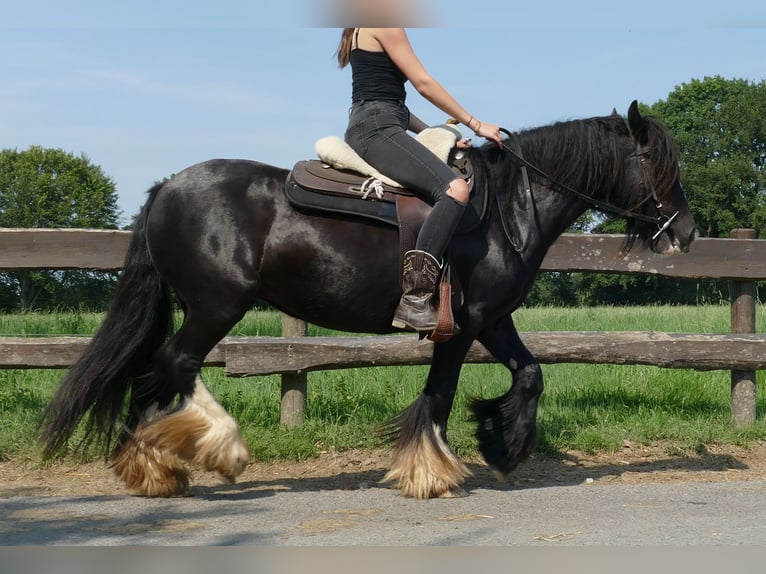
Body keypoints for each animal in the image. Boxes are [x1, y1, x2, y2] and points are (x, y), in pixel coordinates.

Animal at [40, 102, 704, 500]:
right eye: (653, 162)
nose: (688, 232)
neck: (507, 208)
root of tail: (165, 188)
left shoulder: (492, 319)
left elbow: (531, 374)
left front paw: (503, 444)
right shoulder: (463, 325)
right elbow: (440, 395)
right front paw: (430, 471)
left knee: (151, 376)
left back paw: (151, 467)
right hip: (215, 307)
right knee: (173, 366)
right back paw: (213, 452)